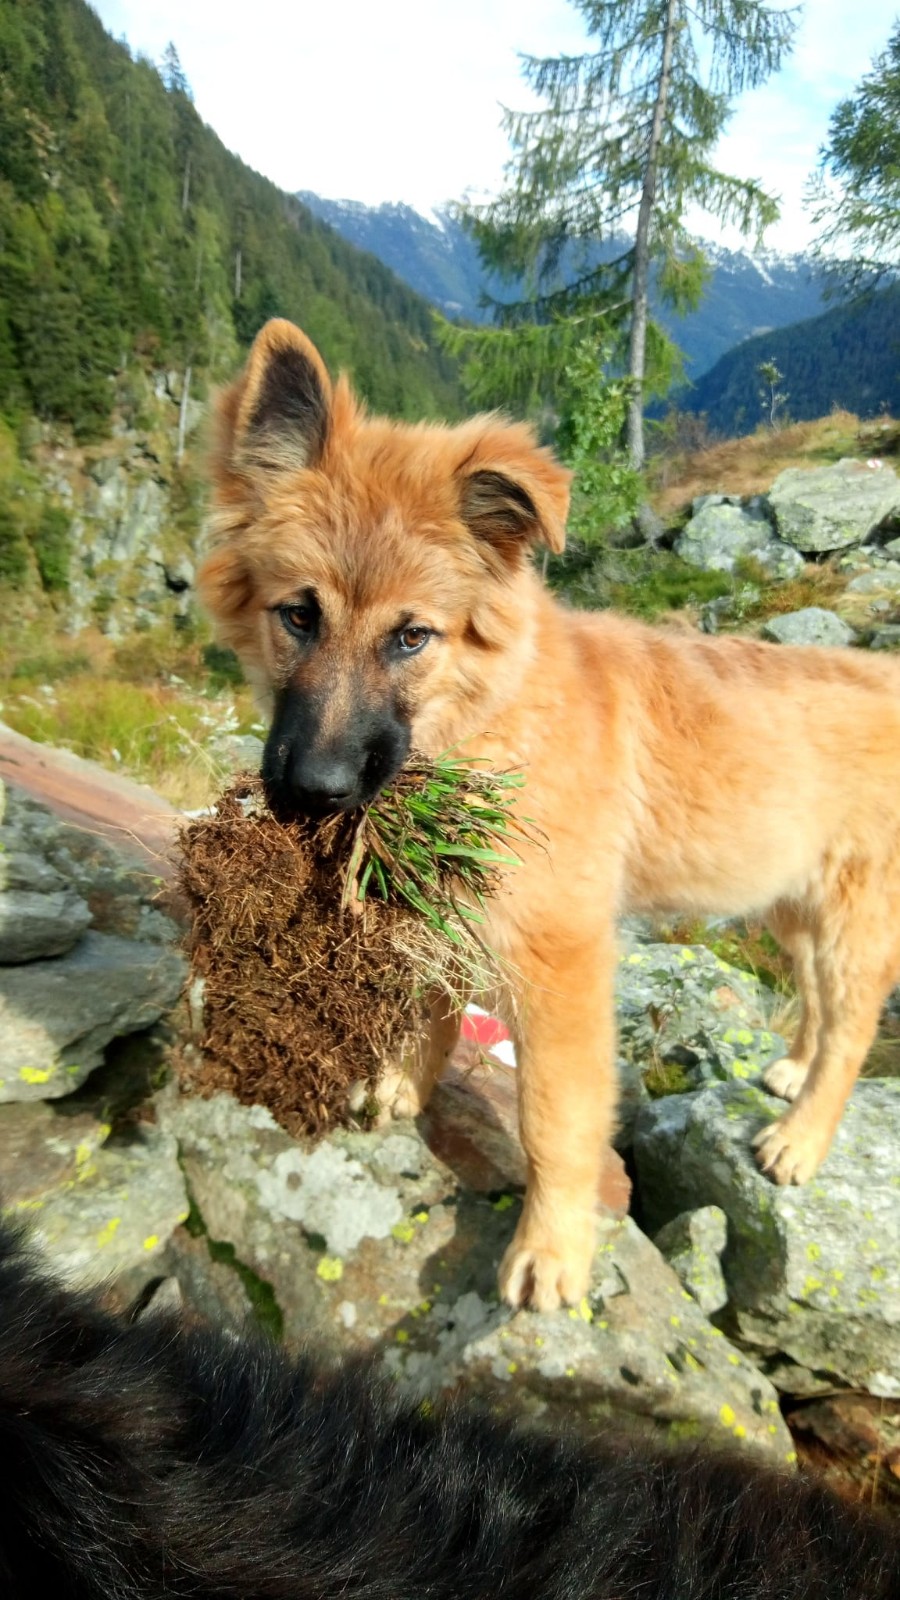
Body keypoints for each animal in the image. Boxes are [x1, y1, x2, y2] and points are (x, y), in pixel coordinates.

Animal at [199, 317, 900, 1312]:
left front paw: (554, 1248)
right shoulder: (450, 904)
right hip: (787, 899)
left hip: (852, 918)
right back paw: (793, 1069)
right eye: (298, 615)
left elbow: (554, 1120)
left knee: (852, 1029)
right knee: (814, 1000)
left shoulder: (560, 963)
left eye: (411, 636)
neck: (489, 716)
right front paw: (403, 1084)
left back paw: (801, 1135)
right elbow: (431, 1002)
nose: (312, 794)